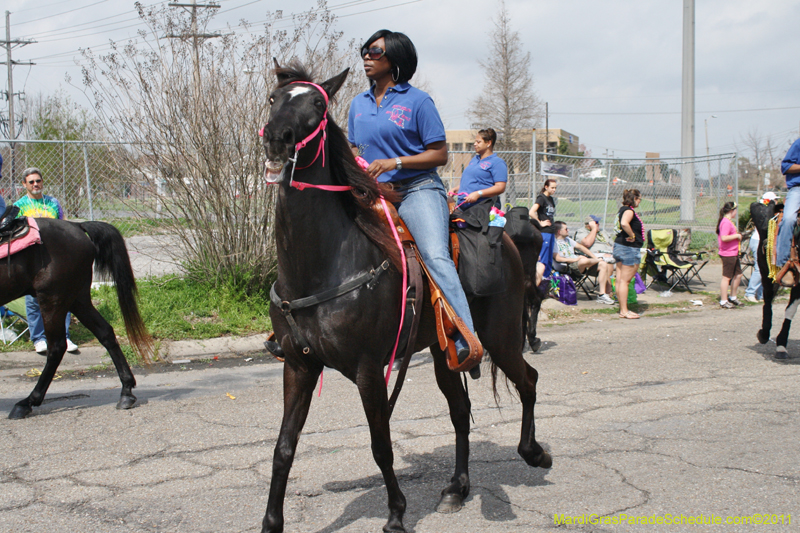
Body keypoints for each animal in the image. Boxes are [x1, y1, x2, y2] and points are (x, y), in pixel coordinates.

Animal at [1, 218, 153, 418]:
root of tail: (76, 225)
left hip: (53, 298)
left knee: (57, 347)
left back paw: (27, 402)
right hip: (76, 299)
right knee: (105, 332)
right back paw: (126, 391)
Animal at [260, 63, 548, 532]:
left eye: (318, 103)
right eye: (273, 97)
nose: (277, 138)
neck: (323, 264)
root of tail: (506, 235)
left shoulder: (368, 370)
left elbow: (381, 445)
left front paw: (396, 513)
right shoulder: (299, 366)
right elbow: (284, 447)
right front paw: (271, 522)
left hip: (502, 338)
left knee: (528, 381)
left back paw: (535, 452)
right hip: (446, 352)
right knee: (460, 412)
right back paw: (456, 488)